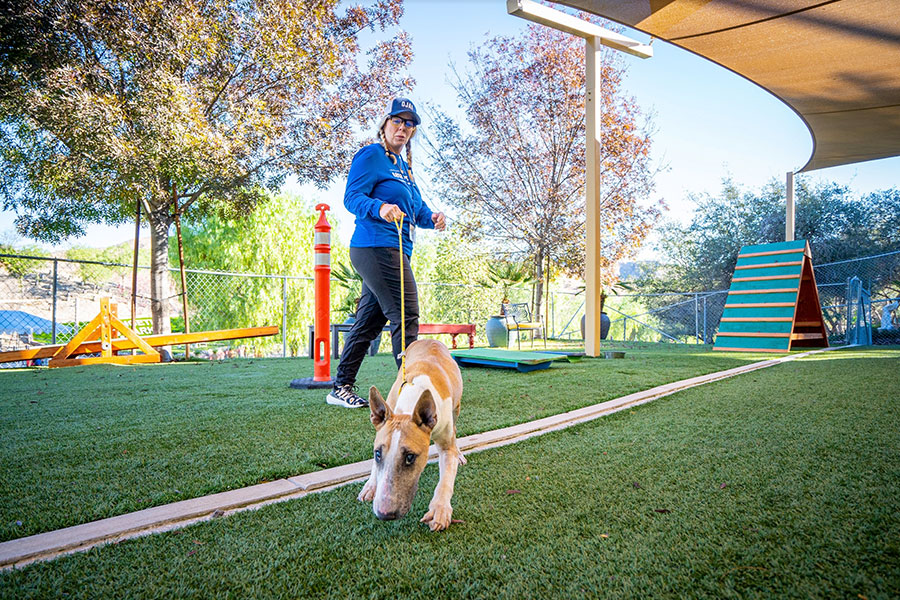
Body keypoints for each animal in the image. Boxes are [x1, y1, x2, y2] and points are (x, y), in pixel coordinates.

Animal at [356, 340, 464, 532]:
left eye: (410, 457)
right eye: (377, 454)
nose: (384, 514)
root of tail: (430, 340)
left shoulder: (446, 445)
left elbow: (445, 481)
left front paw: (439, 509)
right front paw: (370, 486)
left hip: (456, 408)